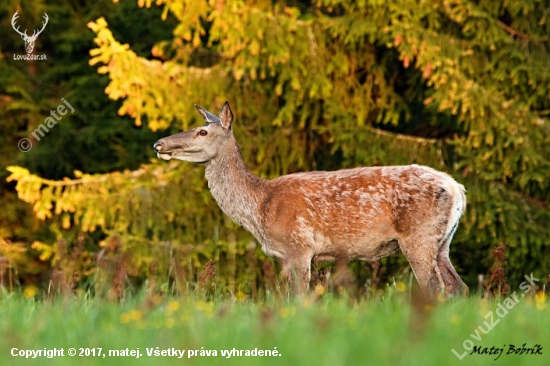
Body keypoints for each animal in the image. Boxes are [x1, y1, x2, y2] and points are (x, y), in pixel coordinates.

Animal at [154, 101, 470, 296]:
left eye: (202, 131)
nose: (159, 144)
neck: (260, 207)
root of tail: (458, 189)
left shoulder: (299, 246)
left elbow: (298, 298)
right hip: (442, 242)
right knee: (458, 287)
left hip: (419, 236)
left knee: (435, 288)